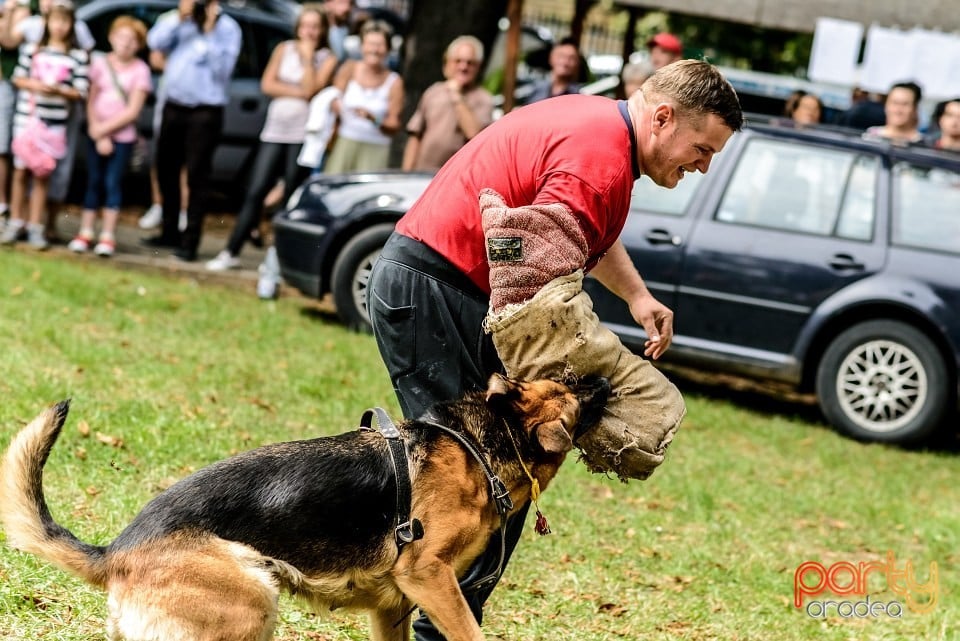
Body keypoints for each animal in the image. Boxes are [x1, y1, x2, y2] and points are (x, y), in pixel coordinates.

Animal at [1, 376, 608, 640]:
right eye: (575, 388)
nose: (603, 377)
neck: (479, 446)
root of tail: (116, 552)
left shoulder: (394, 607)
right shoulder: (429, 577)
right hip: (253, 600)